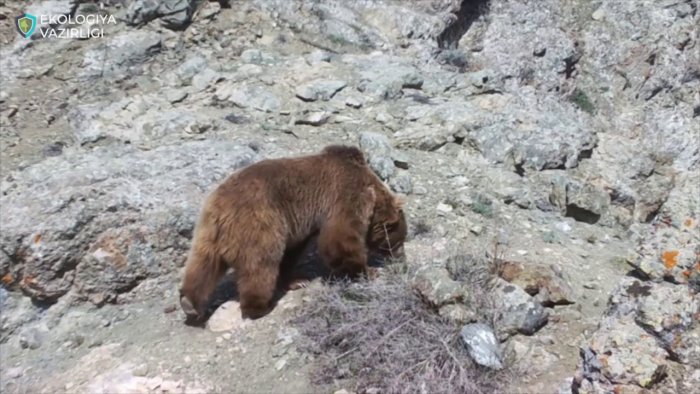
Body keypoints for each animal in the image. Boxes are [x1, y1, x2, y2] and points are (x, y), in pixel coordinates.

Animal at [179, 144, 404, 320]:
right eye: (399, 241)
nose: (401, 256)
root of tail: (221, 209)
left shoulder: (298, 225)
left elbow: (294, 250)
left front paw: (296, 280)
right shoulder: (347, 195)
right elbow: (340, 238)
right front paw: (367, 270)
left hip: (207, 234)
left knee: (201, 266)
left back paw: (189, 303)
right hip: (260, 224)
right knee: (261, 264)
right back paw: (260, 306)